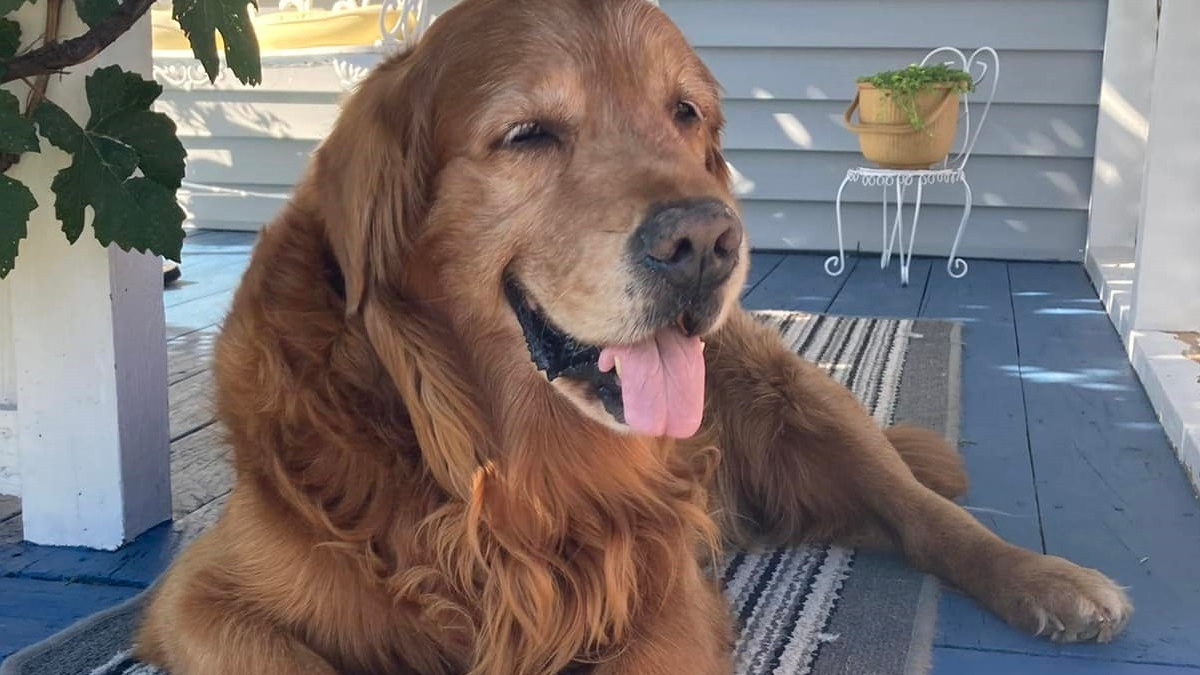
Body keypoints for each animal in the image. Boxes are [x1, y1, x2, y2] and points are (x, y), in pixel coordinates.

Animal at [136, 0, 1128, 667]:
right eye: (527, 133)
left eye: (683, 112)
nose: (706, 243)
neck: (500, 469)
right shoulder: (204, 597)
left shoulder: (663, 590)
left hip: (796, 392)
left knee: (920, 511)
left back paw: (1053, 581)